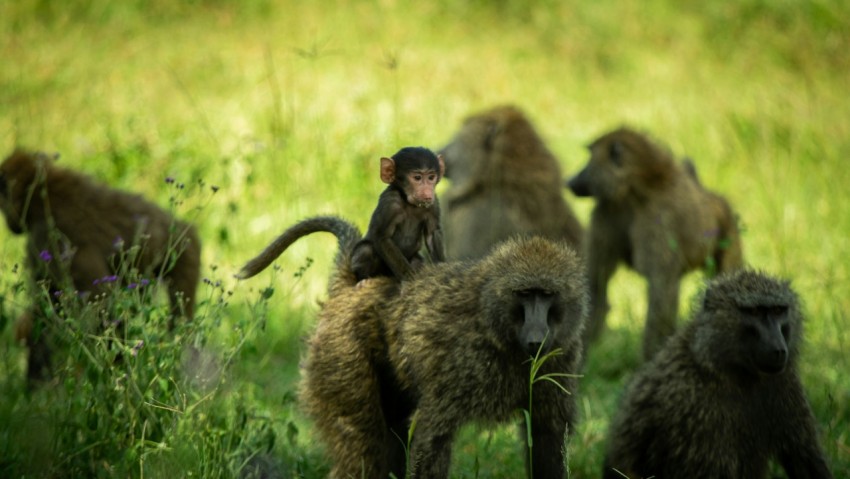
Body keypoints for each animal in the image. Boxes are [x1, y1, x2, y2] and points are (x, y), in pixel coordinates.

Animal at [240, 214, 587, 478]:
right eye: (525, 294)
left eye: (546, 295)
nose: (537, 337)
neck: (494, 324)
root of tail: (351, 287)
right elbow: (432, 438)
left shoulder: (561, 357)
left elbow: (546, 434)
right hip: (339, 356)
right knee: (363, 449)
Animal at [349, 146, 445, 282]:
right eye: (417, 178)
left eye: (431, 177)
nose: (427, 192)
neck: (409, 202)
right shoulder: (389, 203)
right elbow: (383, 238)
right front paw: (409, 277)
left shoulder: (433, 204)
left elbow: (432, 234)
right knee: (365, 250)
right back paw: (363, 279)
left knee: (417, 260)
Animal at [566, 127, 743, 360]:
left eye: (589, 159)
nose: (570, 180)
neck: (633, 192)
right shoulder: (606, 213)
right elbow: (596, 284)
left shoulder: (658, 220)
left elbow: (661, 290)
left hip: (729, 232)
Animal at [602, 269, 833, 479]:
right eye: (754, 312)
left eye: (778, 310)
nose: (778, 349)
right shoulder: (694, 406)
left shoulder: (785, 383)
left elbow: (806, 459)